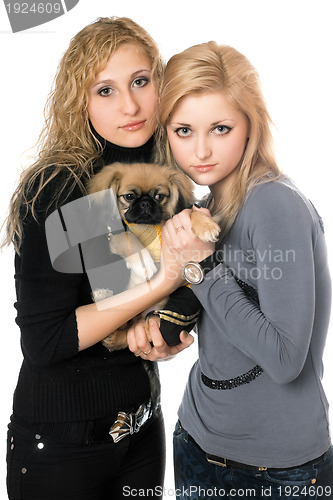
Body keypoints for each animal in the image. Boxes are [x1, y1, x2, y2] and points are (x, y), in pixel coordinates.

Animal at [87, 162, 219, 350]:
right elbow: (129, 237)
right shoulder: (115, 236)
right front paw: (144, 265)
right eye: (129, 196)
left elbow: (190, 213)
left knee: (138, 331)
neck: (148, 226)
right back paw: (103, 298)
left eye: (159, 196)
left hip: (161, 320)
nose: (146, 203)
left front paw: (207, 226)